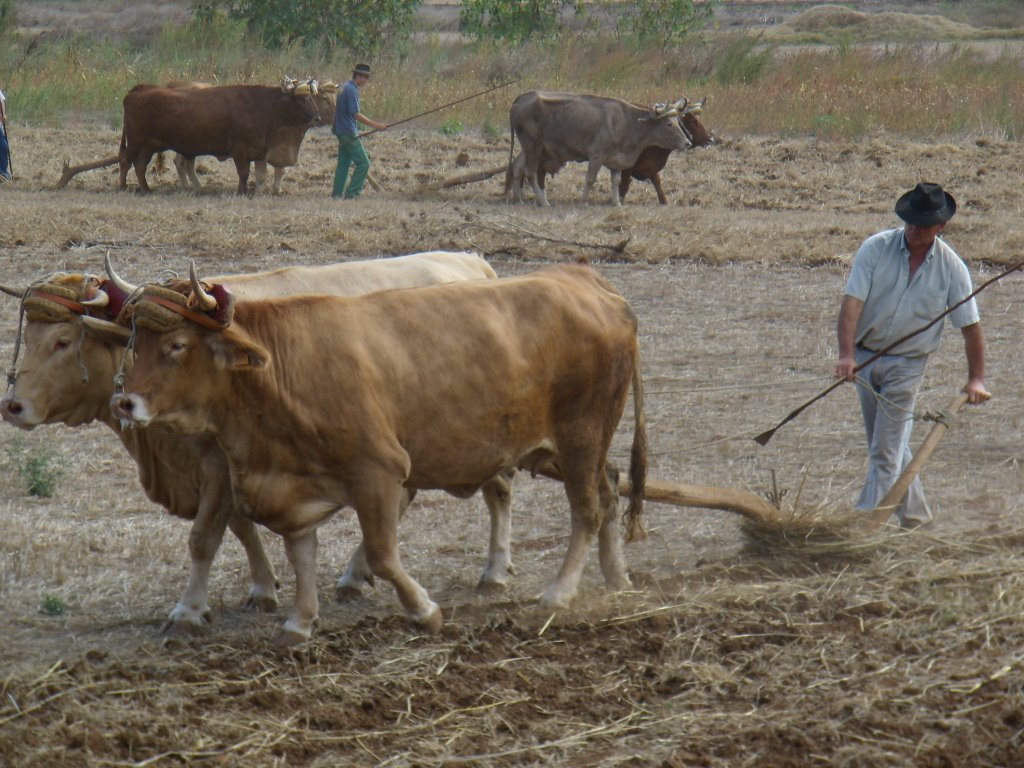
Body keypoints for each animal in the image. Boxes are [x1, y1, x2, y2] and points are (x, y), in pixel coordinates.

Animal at [0, 252, 512, 638]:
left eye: (63, 340)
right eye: (31, 339)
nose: (14, 406)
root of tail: (473, 262)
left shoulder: (221, 465)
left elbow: (204, 537)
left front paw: (188, 611)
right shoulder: (231, 470)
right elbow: (242, 527)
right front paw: (264, 587)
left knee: (497, 491)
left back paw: (493, 572)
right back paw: (356, 574)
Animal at [110, 262, 647, 647]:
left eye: (178, 344)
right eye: (134, 340)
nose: (125, 402)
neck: (283, 370)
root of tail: (589, 284)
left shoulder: (380, 471)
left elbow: (383, 554)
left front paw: (424, 610)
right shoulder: (289, 485)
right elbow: (300, 553)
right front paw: (299, 622)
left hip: (580, 437)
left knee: (587, 509)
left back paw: (560, 591)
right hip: (563, 447)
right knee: (609, 488)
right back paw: (616, 576)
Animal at [119, 79, 329, 193]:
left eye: (312, 97)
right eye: (302, 99)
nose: (317, 117)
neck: (259, 106)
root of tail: (140, 89)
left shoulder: (258, 150)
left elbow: (258, 174)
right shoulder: (239, 150)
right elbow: (243, 173)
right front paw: (241, 191)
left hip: (148, 146)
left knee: (140, 166)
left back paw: (146, 189)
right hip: (136, 142)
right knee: (126, 162)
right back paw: (122, 186)